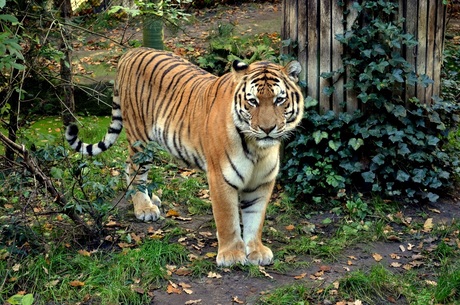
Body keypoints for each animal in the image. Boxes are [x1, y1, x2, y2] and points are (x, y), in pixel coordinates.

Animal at [63, 48, 302, 266]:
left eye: (279, 100)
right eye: (252, 101)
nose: (267, 129)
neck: (258, 149)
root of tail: (130, 52)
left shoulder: (262, 182)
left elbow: (255, 218)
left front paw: (256, 251)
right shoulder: (221, 177)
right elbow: (228, 218)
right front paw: (232, 255)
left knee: (130, 167)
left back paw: (151, 199)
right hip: (141, 139)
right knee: (134, 170)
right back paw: (144, 208)